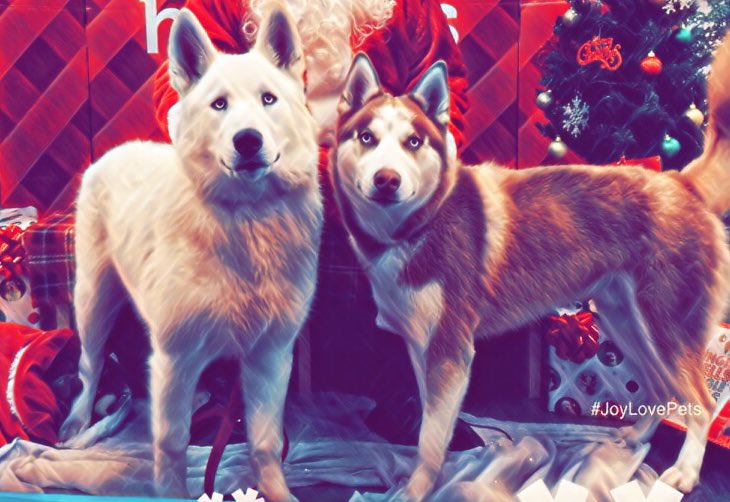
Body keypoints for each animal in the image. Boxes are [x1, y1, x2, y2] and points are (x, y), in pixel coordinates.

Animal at [59, 5, 321, 500]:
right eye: (219, 105)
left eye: (269, 99)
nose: (247, 140)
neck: (245, 221)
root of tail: (117, 149)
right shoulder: (175, 360)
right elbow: (172, 444)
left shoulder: (271, 356)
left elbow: (264, 444)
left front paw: (277, 491)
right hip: (93, 302)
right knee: (89, 366)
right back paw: (77, 421)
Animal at [330, 35, 730, 501]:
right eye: (366, 137)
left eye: (413, 142)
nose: (387, 180)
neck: (415, 229)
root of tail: (680, 182)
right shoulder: (420, 346)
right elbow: (430, 426)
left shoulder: (450, 351)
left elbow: (430, 438)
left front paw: (417, 489)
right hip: (627, 323)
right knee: (659, 386)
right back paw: (635, 439)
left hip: (667, 331)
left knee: (699, 403)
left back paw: (684, 473)